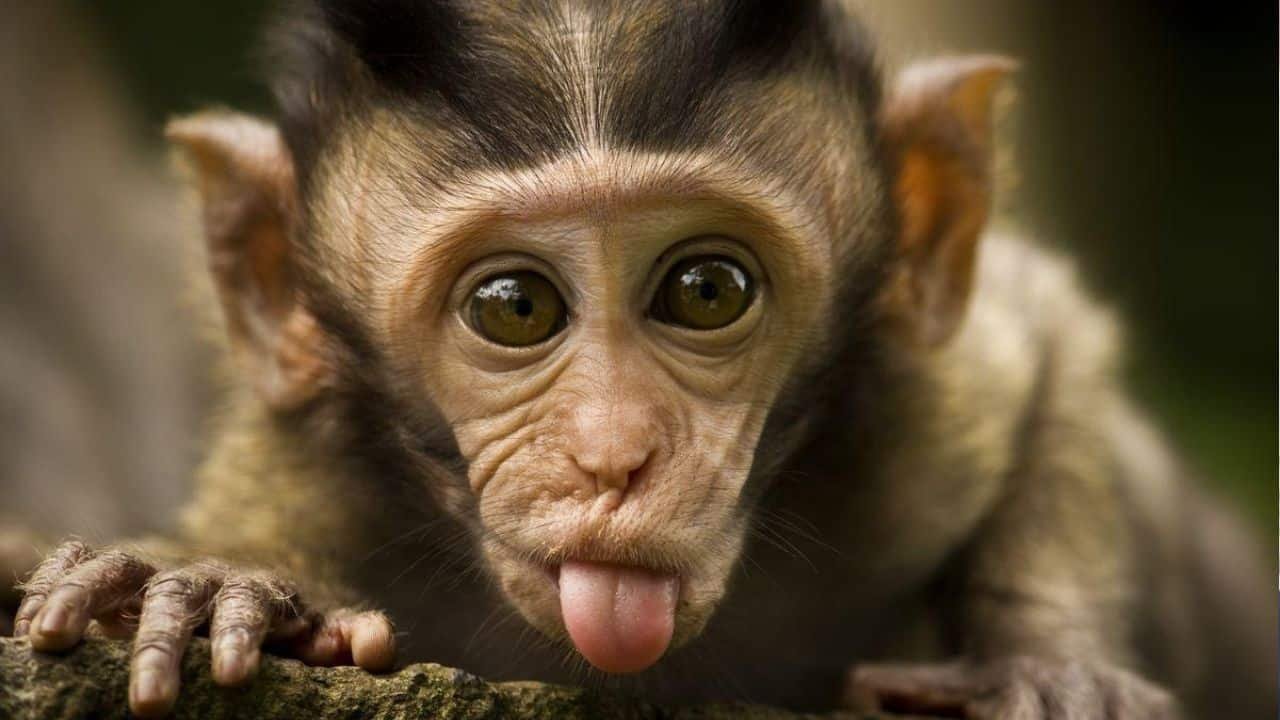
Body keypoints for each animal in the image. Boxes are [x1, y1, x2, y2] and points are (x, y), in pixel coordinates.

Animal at [10, 1, 1276, 718]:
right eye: (514, 307)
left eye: (705, 291)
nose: (612, 458)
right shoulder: (308, 475)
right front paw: (216, 584)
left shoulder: (923, 420)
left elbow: (1051, 340)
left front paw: (1044, 659)